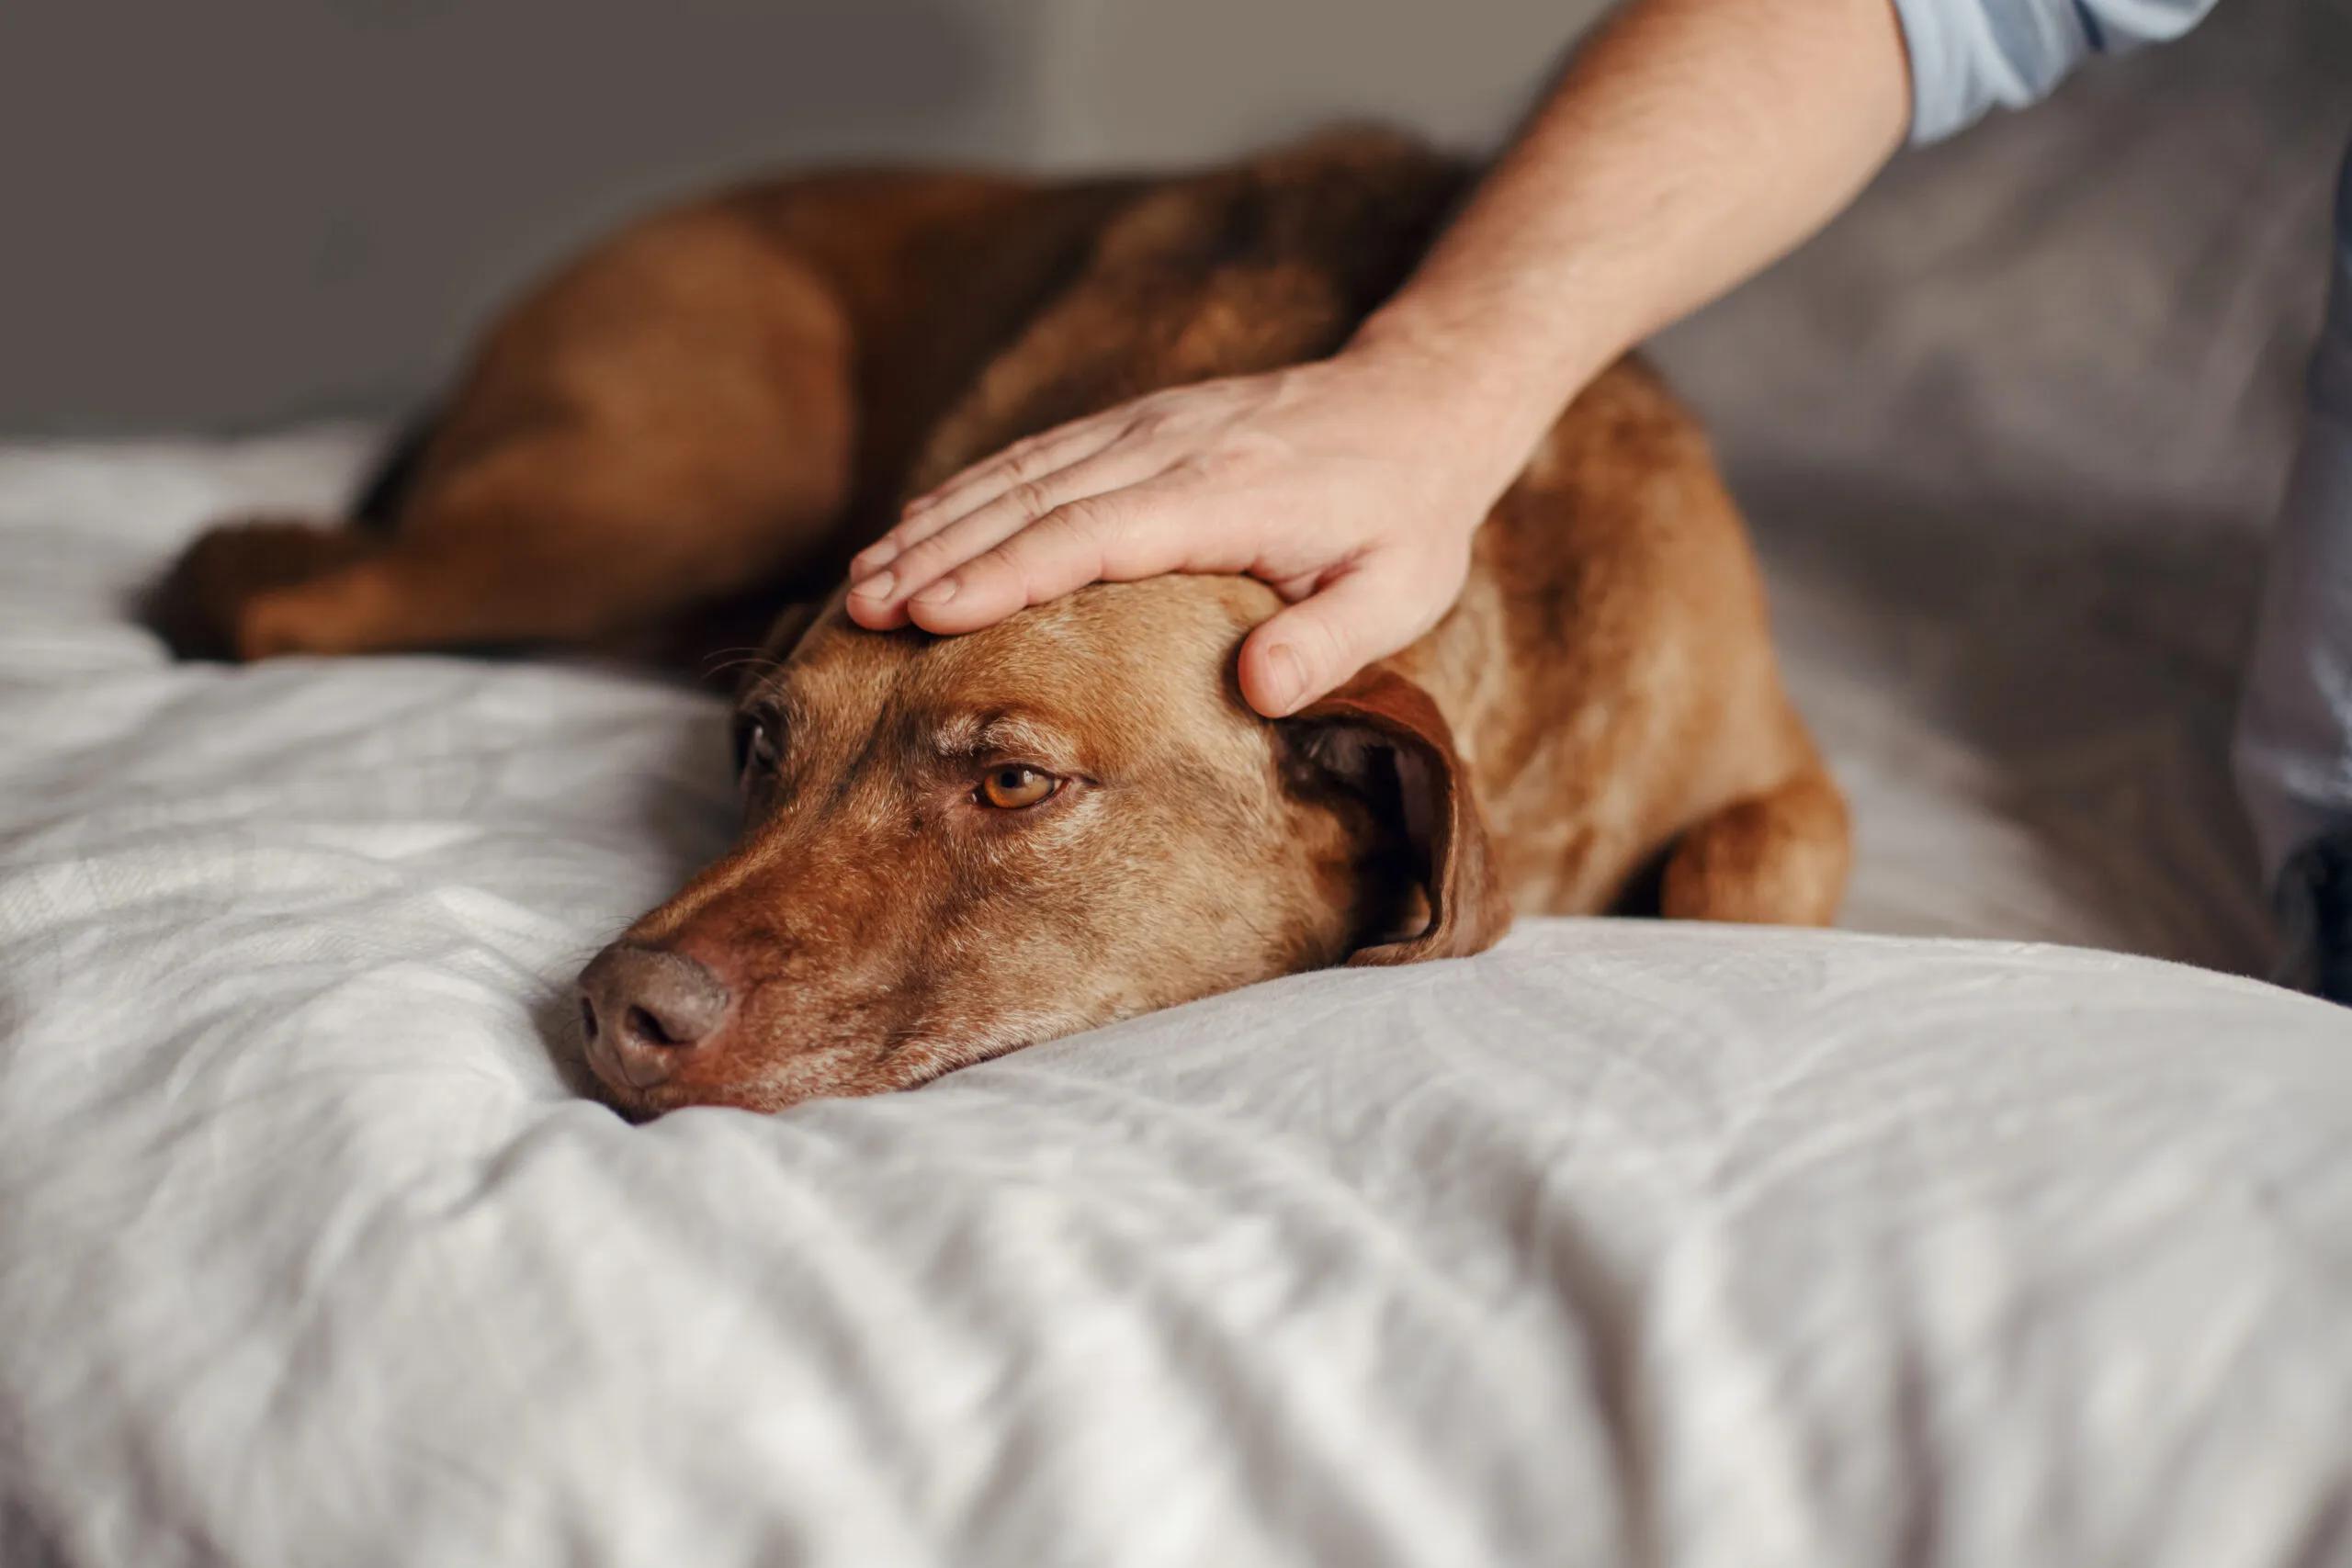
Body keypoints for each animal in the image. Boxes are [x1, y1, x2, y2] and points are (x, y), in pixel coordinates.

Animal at [152, 131, 1853, 1114]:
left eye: (1015, 781)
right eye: (758, 743)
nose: (616, 1010)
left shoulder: (1779, 774)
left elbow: (1749, 865)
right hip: (665, 487)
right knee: (275, 590)